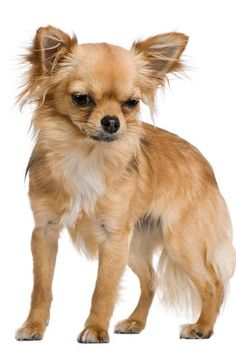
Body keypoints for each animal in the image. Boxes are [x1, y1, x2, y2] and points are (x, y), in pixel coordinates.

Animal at [15, 25, 235, 342]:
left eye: (132, 103)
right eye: (81, 98)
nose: (112, 122)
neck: (85, 154)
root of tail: (206, 167)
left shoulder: (113, 236)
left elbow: (103, 289)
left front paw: (95, 329)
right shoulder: (45, 231)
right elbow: (41, 287)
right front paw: (34, 326)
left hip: (182, 242)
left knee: (212, 282)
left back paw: (202, 327)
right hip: (135, 246)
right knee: (152, 281)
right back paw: (136, 323)